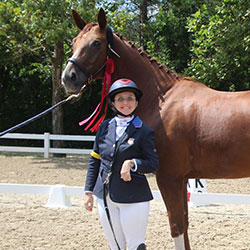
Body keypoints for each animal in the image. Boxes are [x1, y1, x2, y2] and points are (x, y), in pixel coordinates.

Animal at [61, 8, 250, 249]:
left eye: (96, 43)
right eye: (74, 42)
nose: (69, 77)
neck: (162, 100)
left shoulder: (169, 177)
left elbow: (177, 227)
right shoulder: (180, 179)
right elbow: (184, 225)